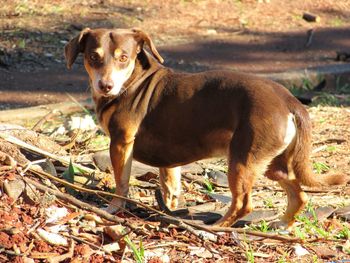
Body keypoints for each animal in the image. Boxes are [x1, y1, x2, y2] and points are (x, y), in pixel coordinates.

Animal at [64, 27, 346, 228]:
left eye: (123, 58)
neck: (133, 81)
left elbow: (121, 183)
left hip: (241, 161)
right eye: (93, 57)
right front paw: (170, 206)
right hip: (273, 164)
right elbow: (170, 184)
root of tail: (290, 101)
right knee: (299, 195)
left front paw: (114, 208)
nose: (106, 86)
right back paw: (282, 224)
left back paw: (216, 227)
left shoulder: (121, 143)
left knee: (243, 204)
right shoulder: (168, 161)